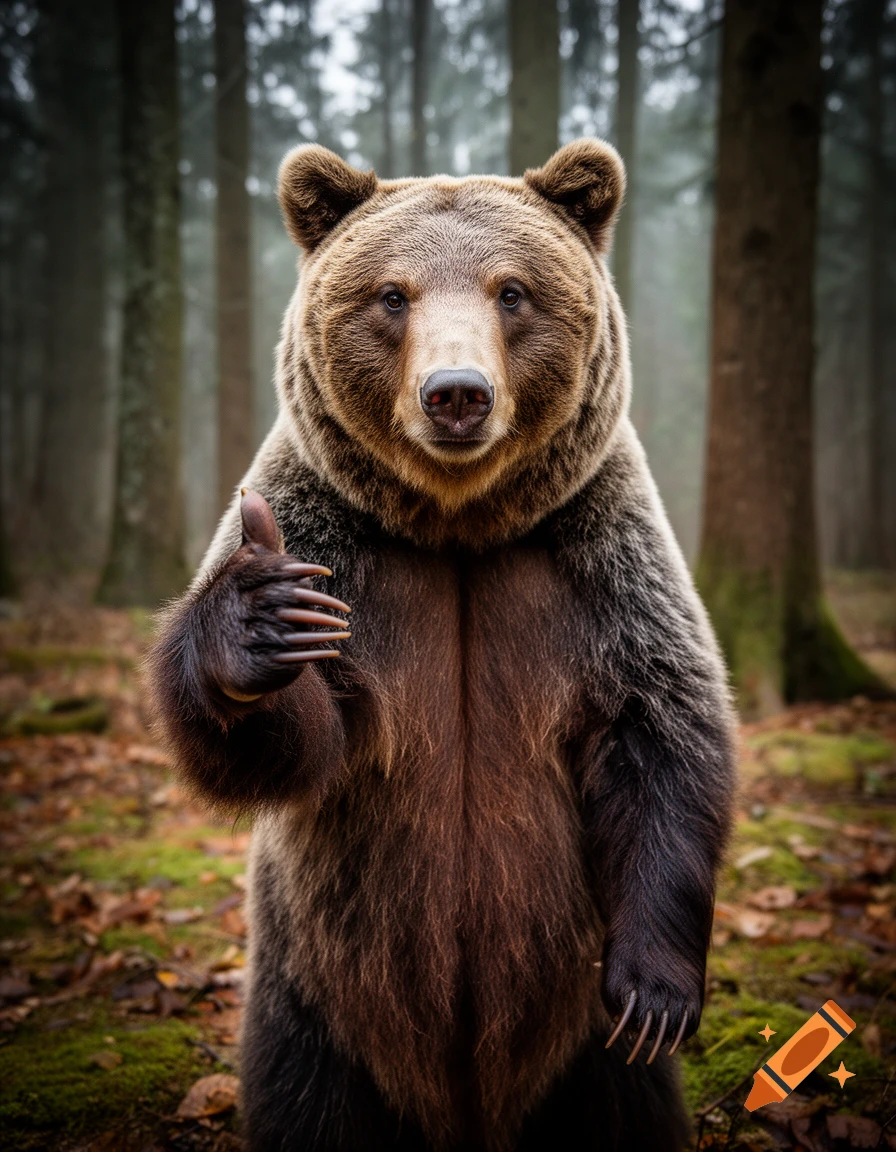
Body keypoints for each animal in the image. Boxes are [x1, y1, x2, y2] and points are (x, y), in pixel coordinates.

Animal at [148, 138, 736, 1152]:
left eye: (513, 291)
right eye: (393, 294)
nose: (456, 394)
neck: (457, 527)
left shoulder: (597, 558)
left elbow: (662, 724)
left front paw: (656, 996)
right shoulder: (336, 539)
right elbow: (290, 745)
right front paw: (259, 623)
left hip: (576, 1052)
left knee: (621, 1105)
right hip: (316, 998)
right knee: (309, 1097)